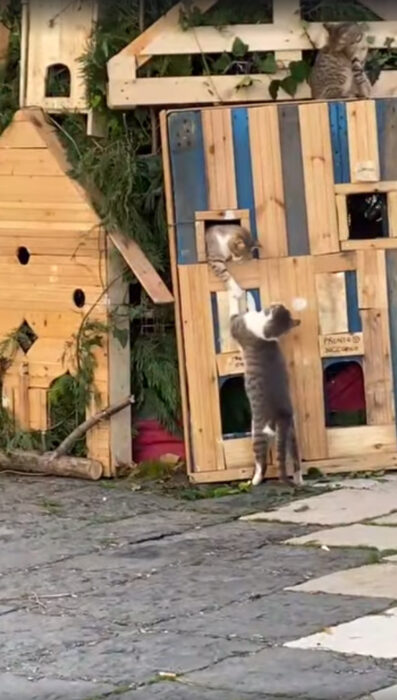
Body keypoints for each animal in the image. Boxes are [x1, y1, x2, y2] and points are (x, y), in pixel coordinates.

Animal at [227, 300, 302, 486]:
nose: (277, 303)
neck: (265, 334)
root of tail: (283, 416)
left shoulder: (236, 325)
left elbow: (234, 307)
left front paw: (236, 293)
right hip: (291, 434)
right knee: (295, 458)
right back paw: (299, 480)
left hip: (258, 432)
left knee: (261, 463)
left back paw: (253, 481)